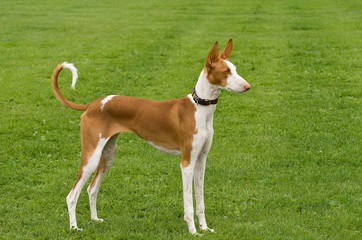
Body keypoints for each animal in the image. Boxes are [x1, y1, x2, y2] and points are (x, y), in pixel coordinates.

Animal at [51, 39, 249, 234]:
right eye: (226, 72)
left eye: (235, 69)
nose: (248, 86)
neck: (200, 108)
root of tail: (93, 104)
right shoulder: (186, 163)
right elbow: (189, 205)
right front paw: (193, 231)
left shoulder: (201, 161)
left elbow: (200, 202)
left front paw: (205, 228)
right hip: (91, 157)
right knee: (72, 195)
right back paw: (74, 227)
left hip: (107, 155)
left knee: (91, 189)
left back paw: (95, 219)